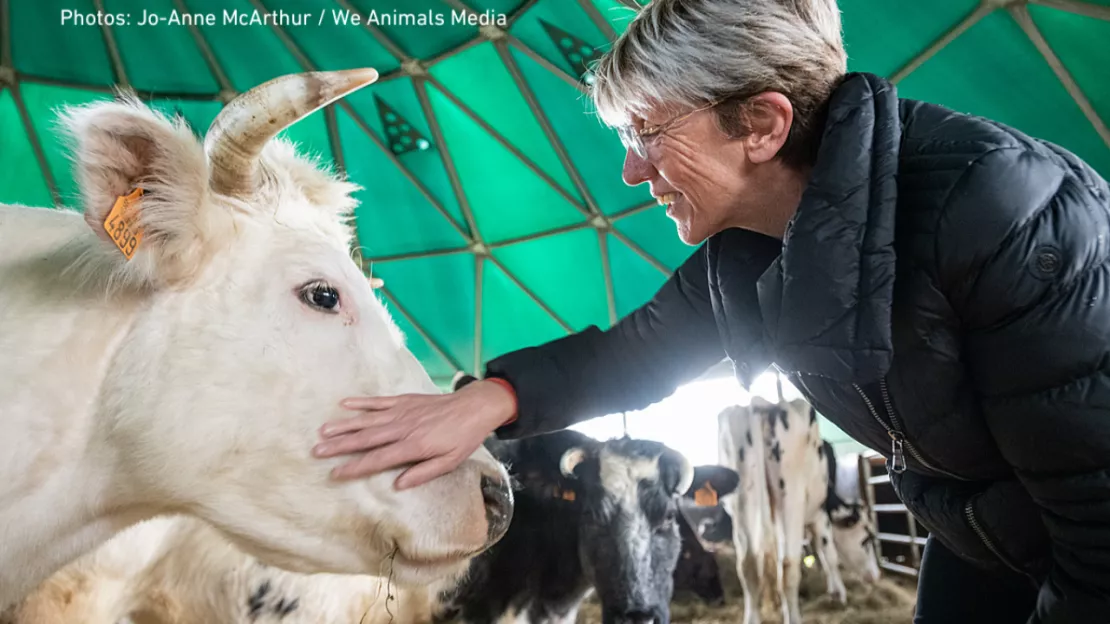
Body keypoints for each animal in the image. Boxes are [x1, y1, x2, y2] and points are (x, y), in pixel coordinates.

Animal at [714, 397, 879, 621]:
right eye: (867, 538)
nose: (876, 576)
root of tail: (759, 405)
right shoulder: (820, 515)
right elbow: (829, 555)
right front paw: (839, 594)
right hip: (790, 499)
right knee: (788, 568)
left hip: (742, 501)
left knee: (748, 566)